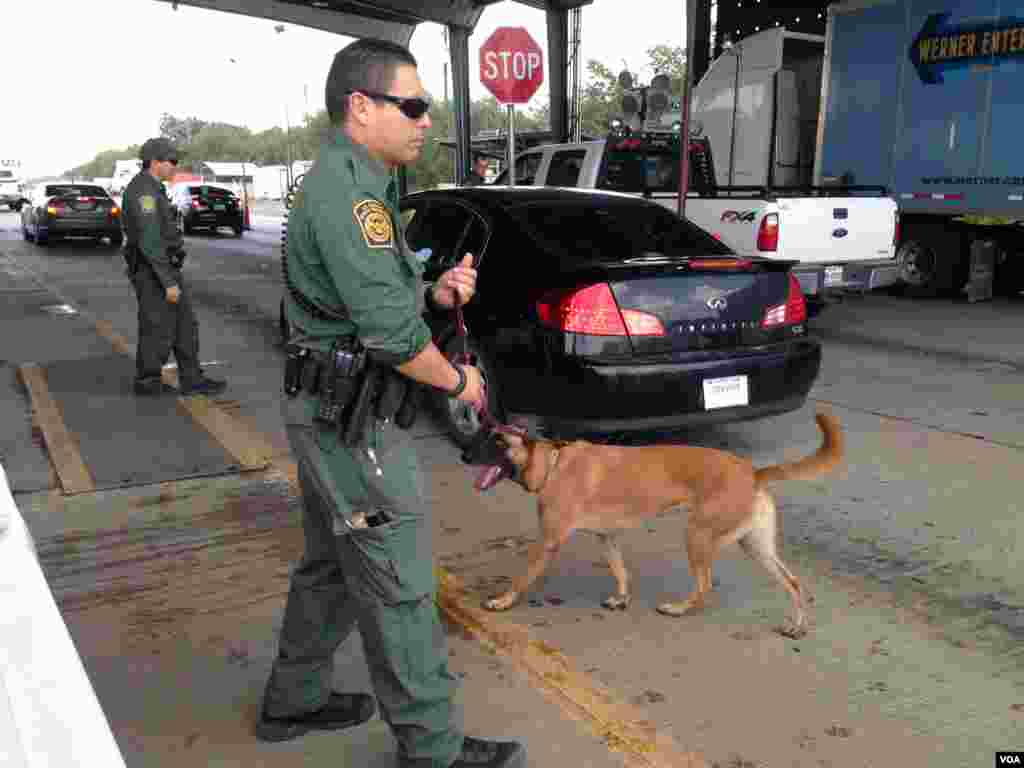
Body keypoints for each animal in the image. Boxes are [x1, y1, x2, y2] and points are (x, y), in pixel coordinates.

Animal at [475, 411, 843, 638]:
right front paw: (621, 598)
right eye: (484, 436)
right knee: (793, 583)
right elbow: (621, 571)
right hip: (756, 547)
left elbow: (522, 577)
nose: (466, 453)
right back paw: (797, 626)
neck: (553, 463)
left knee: (704, 585)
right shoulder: (608, 537)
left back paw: (678, 609)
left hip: (697, 536)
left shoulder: (548, 540)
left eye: (498, 442)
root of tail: (752, 472)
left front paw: (503, 601)